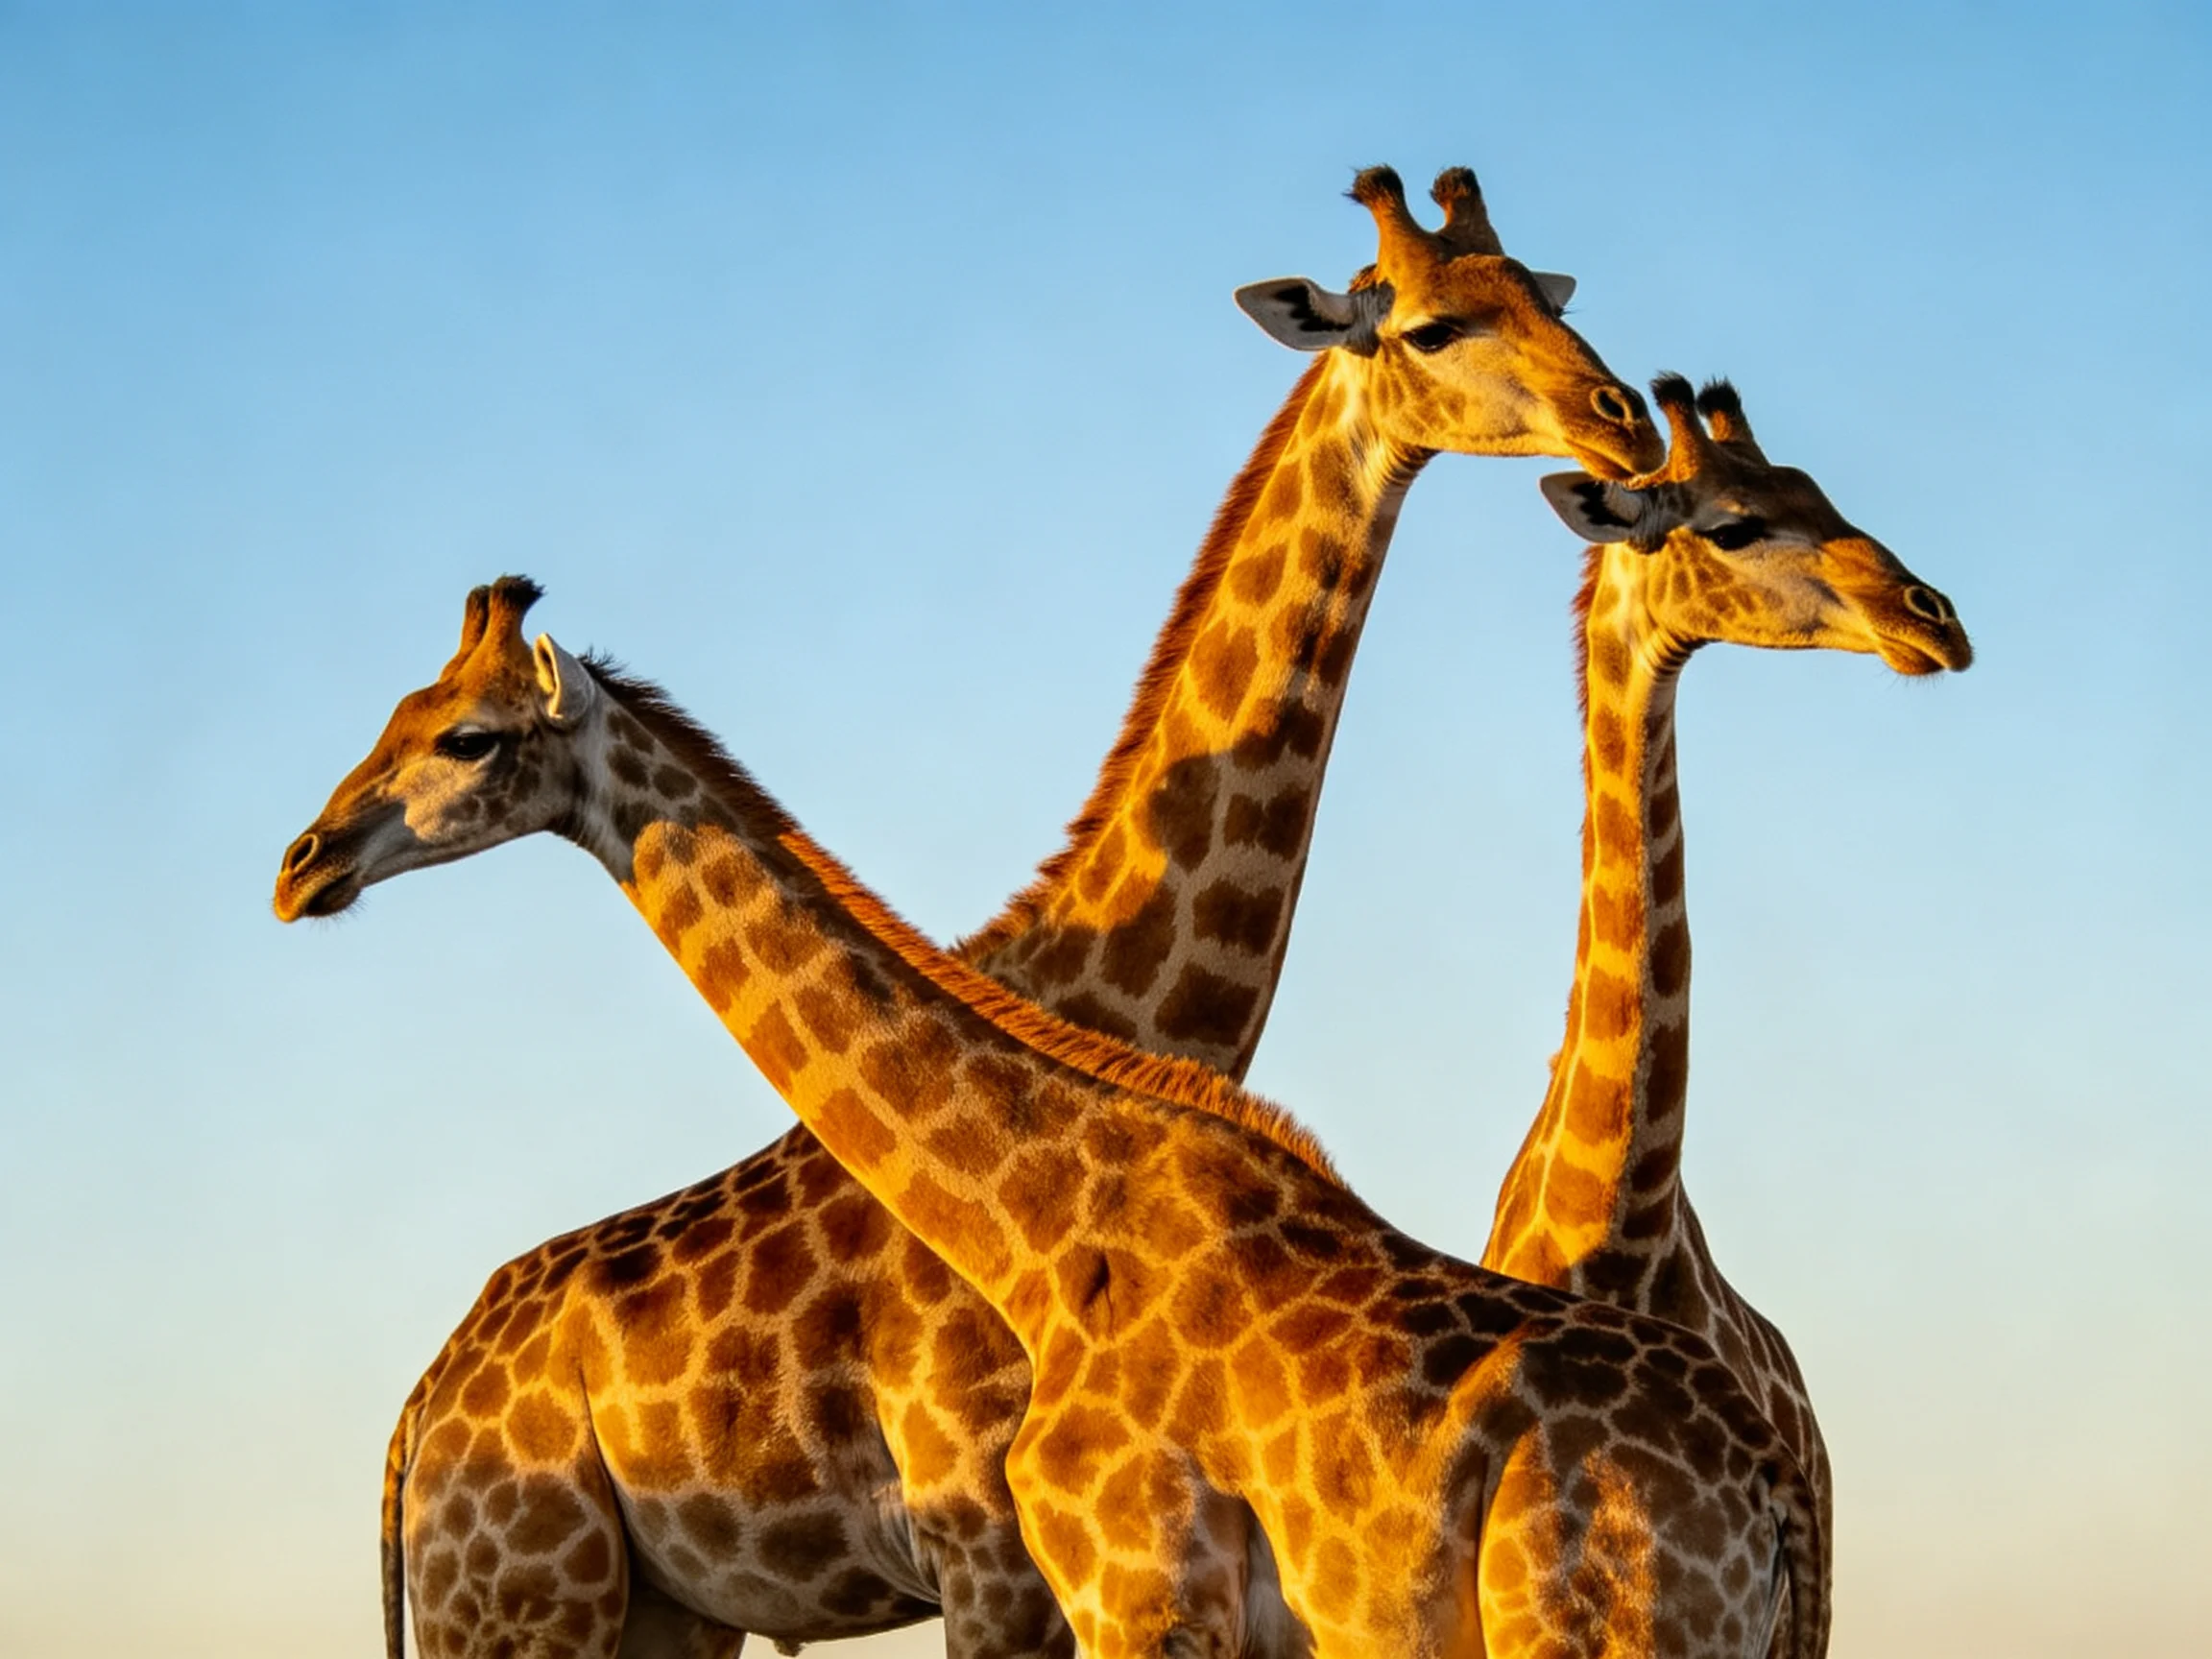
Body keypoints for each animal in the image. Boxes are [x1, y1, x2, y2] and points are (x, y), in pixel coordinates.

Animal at [283, 165, 1666, 1659]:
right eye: (1430, 326)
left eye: (1544, 293)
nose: (1624, 420)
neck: (1116, 1000)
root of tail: (415, 1425)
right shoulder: (987, 1541)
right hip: (522, 1601)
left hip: (658, 1611)